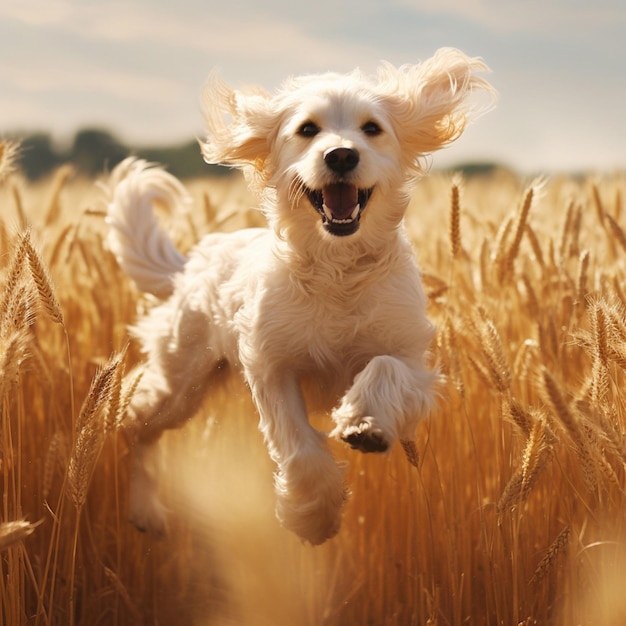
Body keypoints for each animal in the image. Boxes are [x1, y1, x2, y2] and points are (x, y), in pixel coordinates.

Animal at [106, 47, 492, 540]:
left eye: (372, 128)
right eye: (308, 129)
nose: (342, 154)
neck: (337, 269)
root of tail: (192, 262)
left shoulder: (412, 361)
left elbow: (384, 368)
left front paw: (364, 422)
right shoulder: (272, 365)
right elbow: (298, 446)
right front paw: (315, 514)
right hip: (181, 383)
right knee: (133, 422)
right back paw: (145, 507)